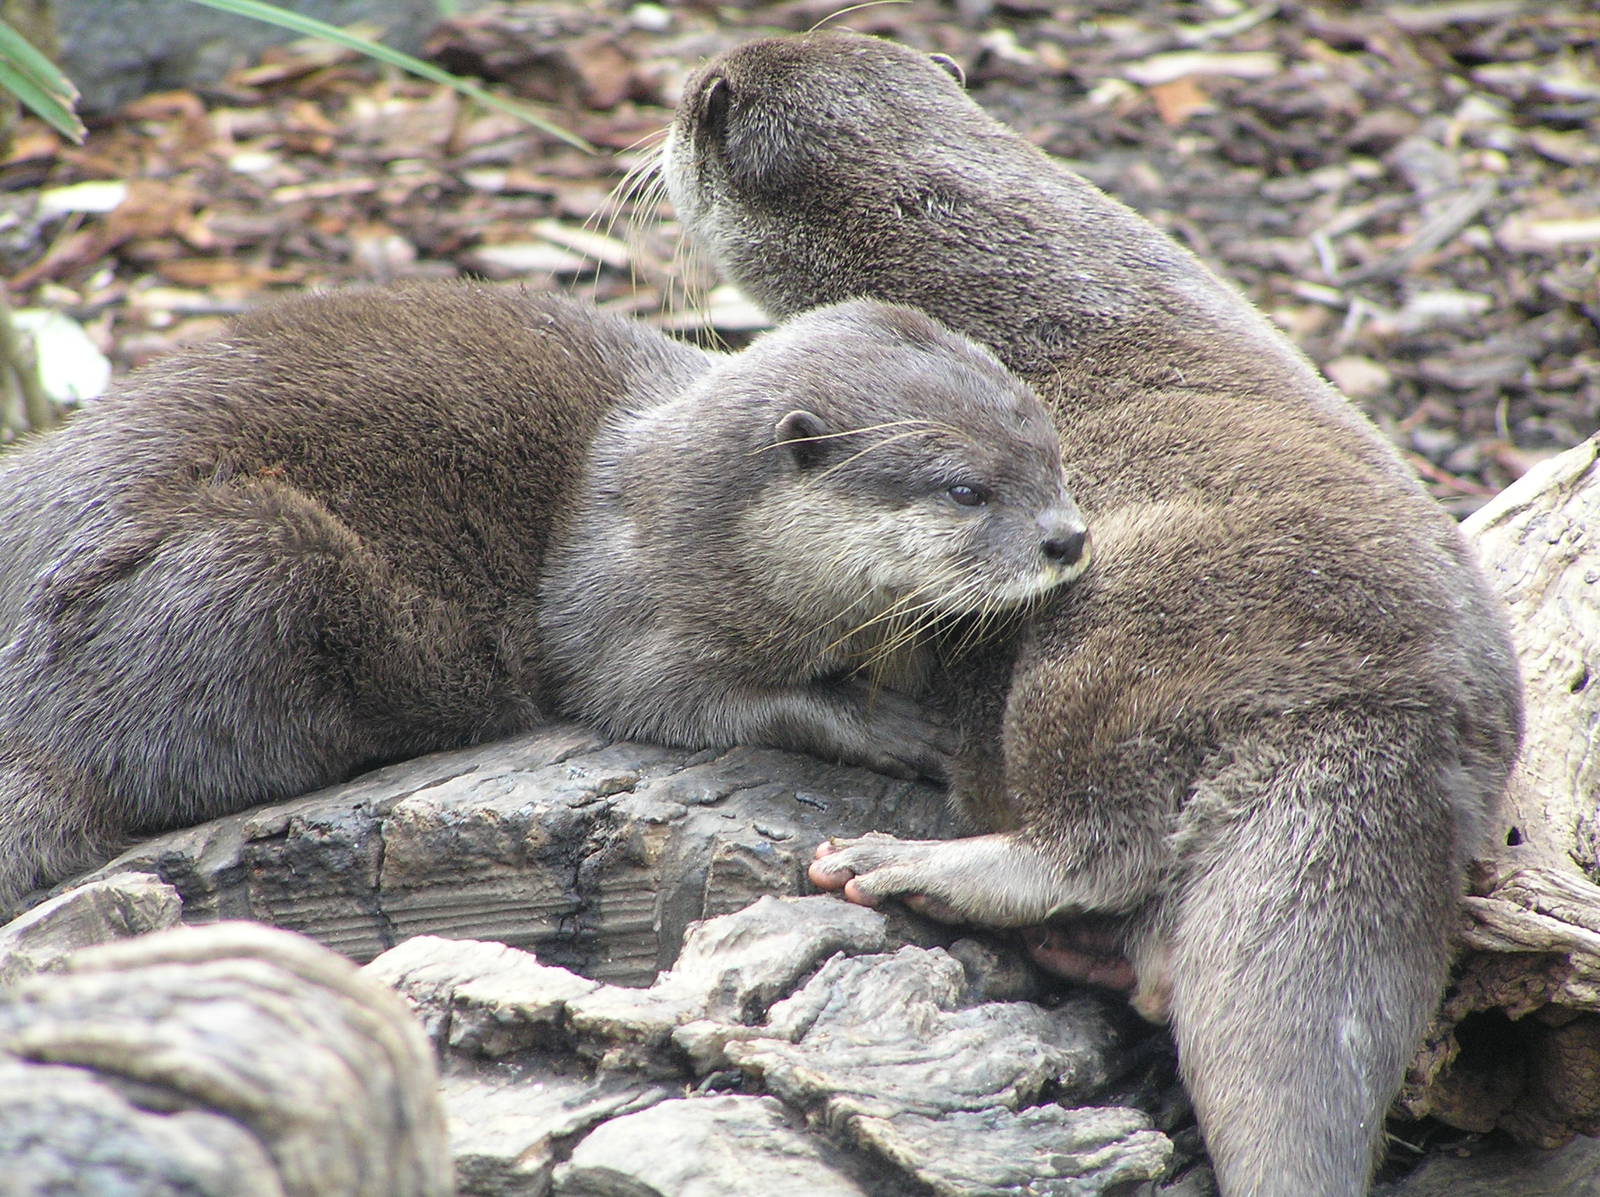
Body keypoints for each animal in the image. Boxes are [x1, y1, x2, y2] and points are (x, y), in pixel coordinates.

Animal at [0, 281, 1086, 913]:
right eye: (965, 490)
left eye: (1054, 458)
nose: (1068, 538)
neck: (688, 511)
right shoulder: (633, 617)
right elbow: (689, 702)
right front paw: (895, 725)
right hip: (244, 560)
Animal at [663, 33, 1522, 1197]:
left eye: (696, 105)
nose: (675, 95)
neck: (1019, 282)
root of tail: (1397, 719)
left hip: (1117, 647)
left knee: (1092, 841)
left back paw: (910, 865)